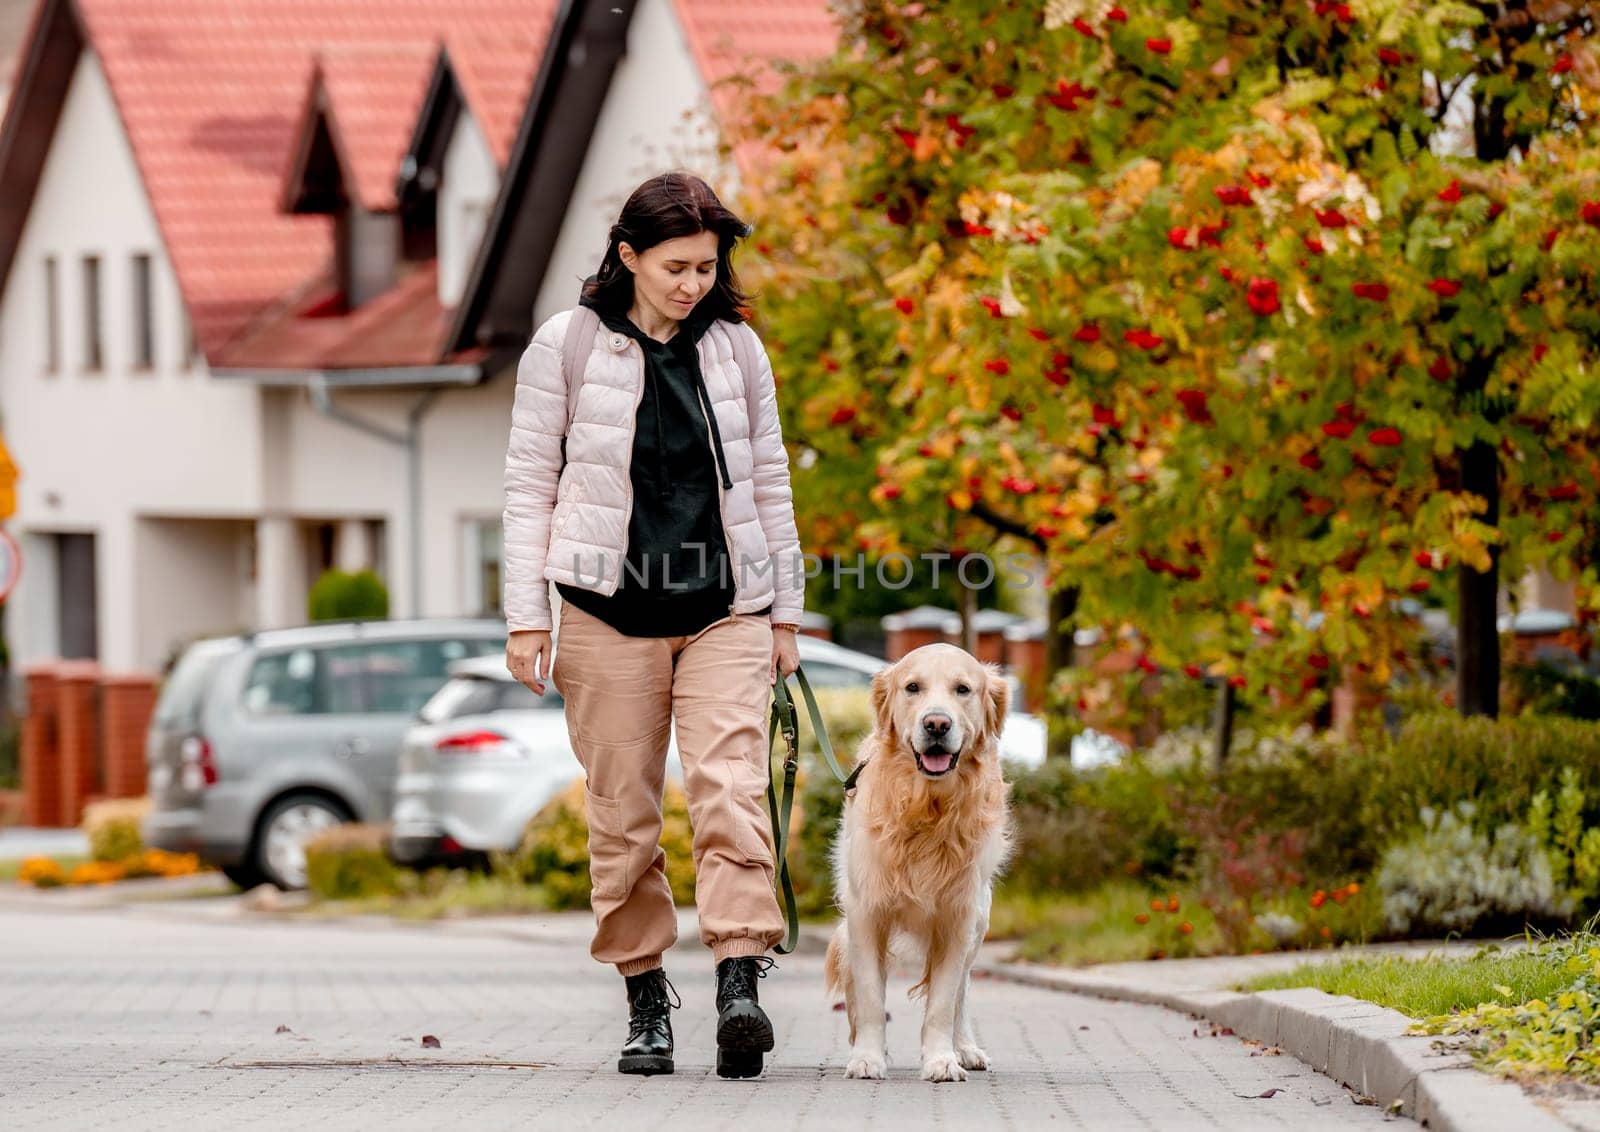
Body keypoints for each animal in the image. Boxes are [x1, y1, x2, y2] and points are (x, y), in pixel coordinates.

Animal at [825, 645, 1011, 1080]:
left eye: (963, 689)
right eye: (913, 687)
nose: (937, 724)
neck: (927, 807)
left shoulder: (957, 917)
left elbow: (943, 1001)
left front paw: (942, 1059)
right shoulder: (866, 912)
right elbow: (871, 997)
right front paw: (867, 1057)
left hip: (979, 922)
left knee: (963, 990)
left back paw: (966, 1049)